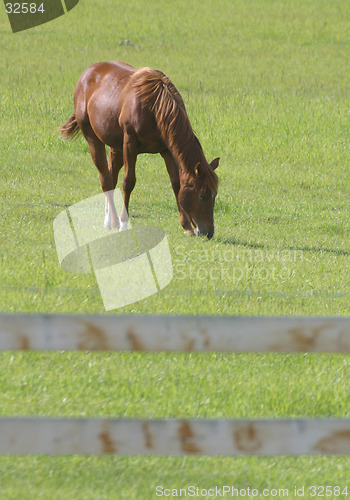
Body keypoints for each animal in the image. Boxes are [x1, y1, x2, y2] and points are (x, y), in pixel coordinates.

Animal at [59, 60, 219, 240]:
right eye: (203, 195)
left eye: (215, 194)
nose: (208, 232)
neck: (154, 107)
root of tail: (87, 74)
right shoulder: (130, 144)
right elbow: (128, 182)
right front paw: (124, 223)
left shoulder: (167, 151)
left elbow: (176, 185)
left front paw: (186, 227)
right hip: (93, 139)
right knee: (106, 180)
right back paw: (115, 222)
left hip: (116, 147)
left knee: (111, 177)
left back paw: (108, 220)